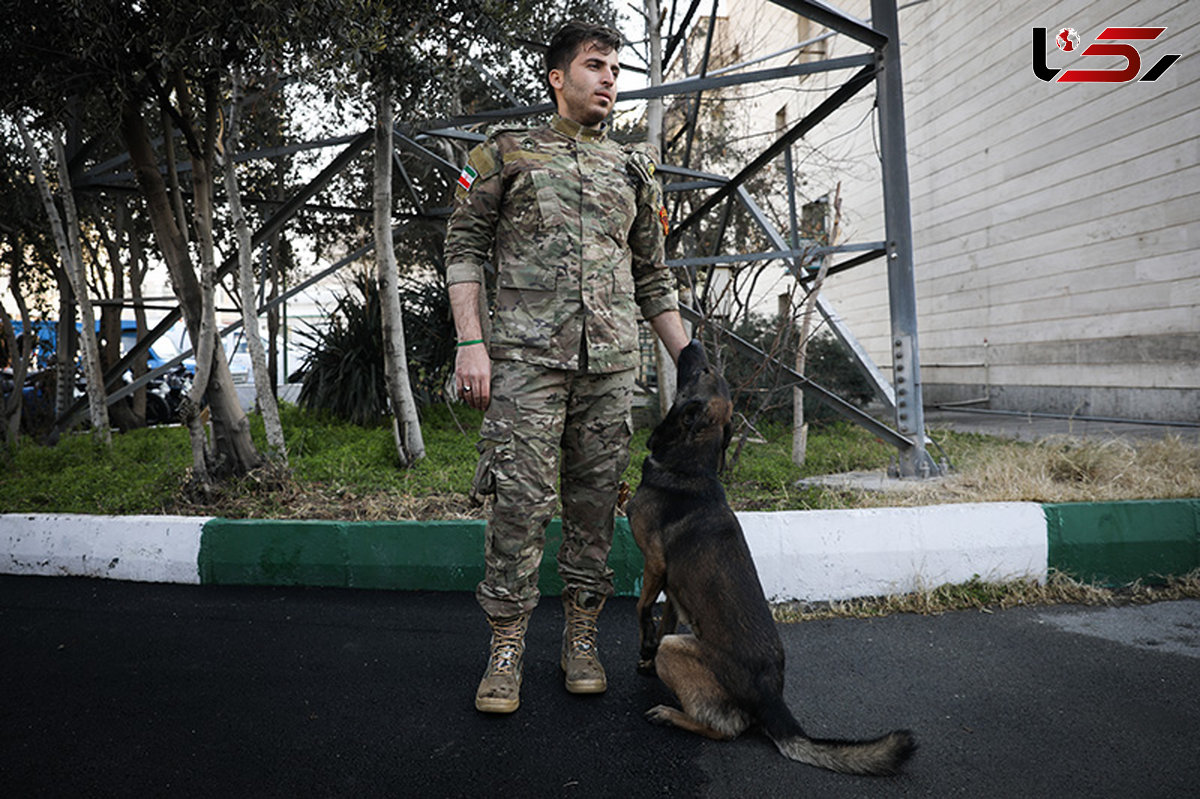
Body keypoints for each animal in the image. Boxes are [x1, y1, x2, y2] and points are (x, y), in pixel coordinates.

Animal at [624, 338, 912, 772]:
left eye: (704, 371)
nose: (692, 341)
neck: (691, 466)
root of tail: (772, 699)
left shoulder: (655, 562)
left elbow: (642, 609)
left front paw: (643, 647)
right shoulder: (674, 588)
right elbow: (663, 620)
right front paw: (645, 657)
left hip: (681, 651)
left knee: (727, 727)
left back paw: (671, 714)